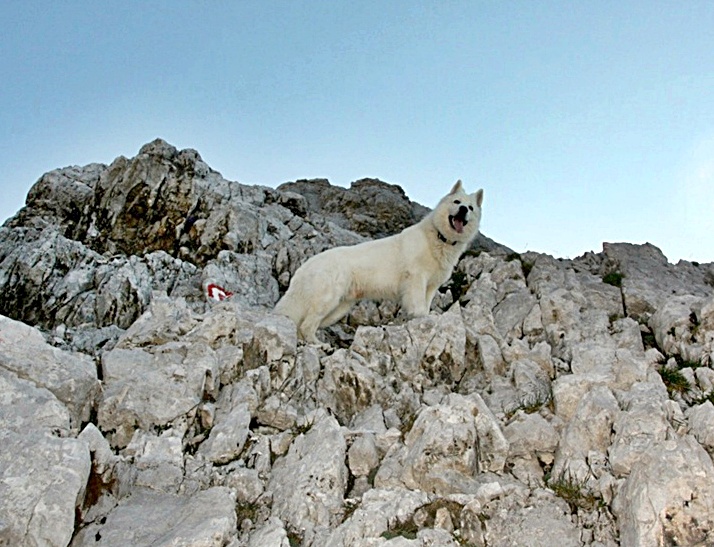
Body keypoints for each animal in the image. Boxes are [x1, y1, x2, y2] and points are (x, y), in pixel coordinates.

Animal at [274, 180, 483, 343]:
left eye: (471, 207)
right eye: (457, 202)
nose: (463, 209)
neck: (440, 238)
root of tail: (306, 265)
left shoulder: (432, 285)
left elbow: (426, 302)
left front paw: (427, 316)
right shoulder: (416, 278)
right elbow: (417, 304)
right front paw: (421, 317)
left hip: (338, 308)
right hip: (328, 298)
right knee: (307, 325)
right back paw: (319, 345)